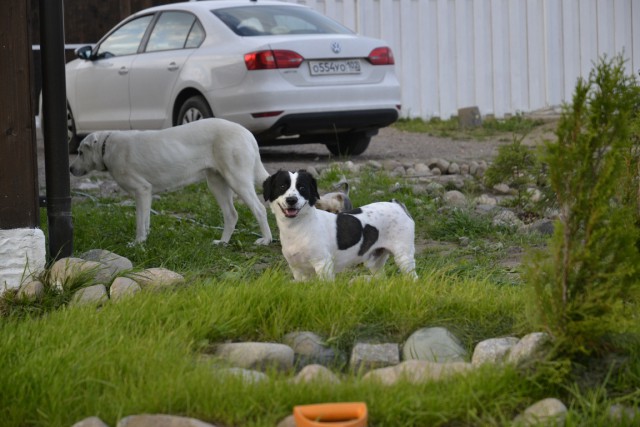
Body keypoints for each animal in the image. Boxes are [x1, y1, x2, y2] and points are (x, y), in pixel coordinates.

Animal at [69, 118, 272, 246]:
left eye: (80, 152)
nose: (70, 169)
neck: (106, 147)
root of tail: (247, 133)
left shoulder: (142, 190)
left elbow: (139, 221)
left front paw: (137, 243)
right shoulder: (147, 195)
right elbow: (146, 220)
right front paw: (145, 240)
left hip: (237, 179)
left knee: (259, 209)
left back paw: (266, 240)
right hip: (216, 183)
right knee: (231, 214)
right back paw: (222, 242)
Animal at [262, 171, 418, 280]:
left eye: (302, 187)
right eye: (282, 186)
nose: (291, 200)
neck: (298, 228)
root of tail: (397, 205)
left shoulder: (323, 266)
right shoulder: (298, 270)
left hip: (404, 257)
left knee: (413, 278)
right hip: (376, 261)